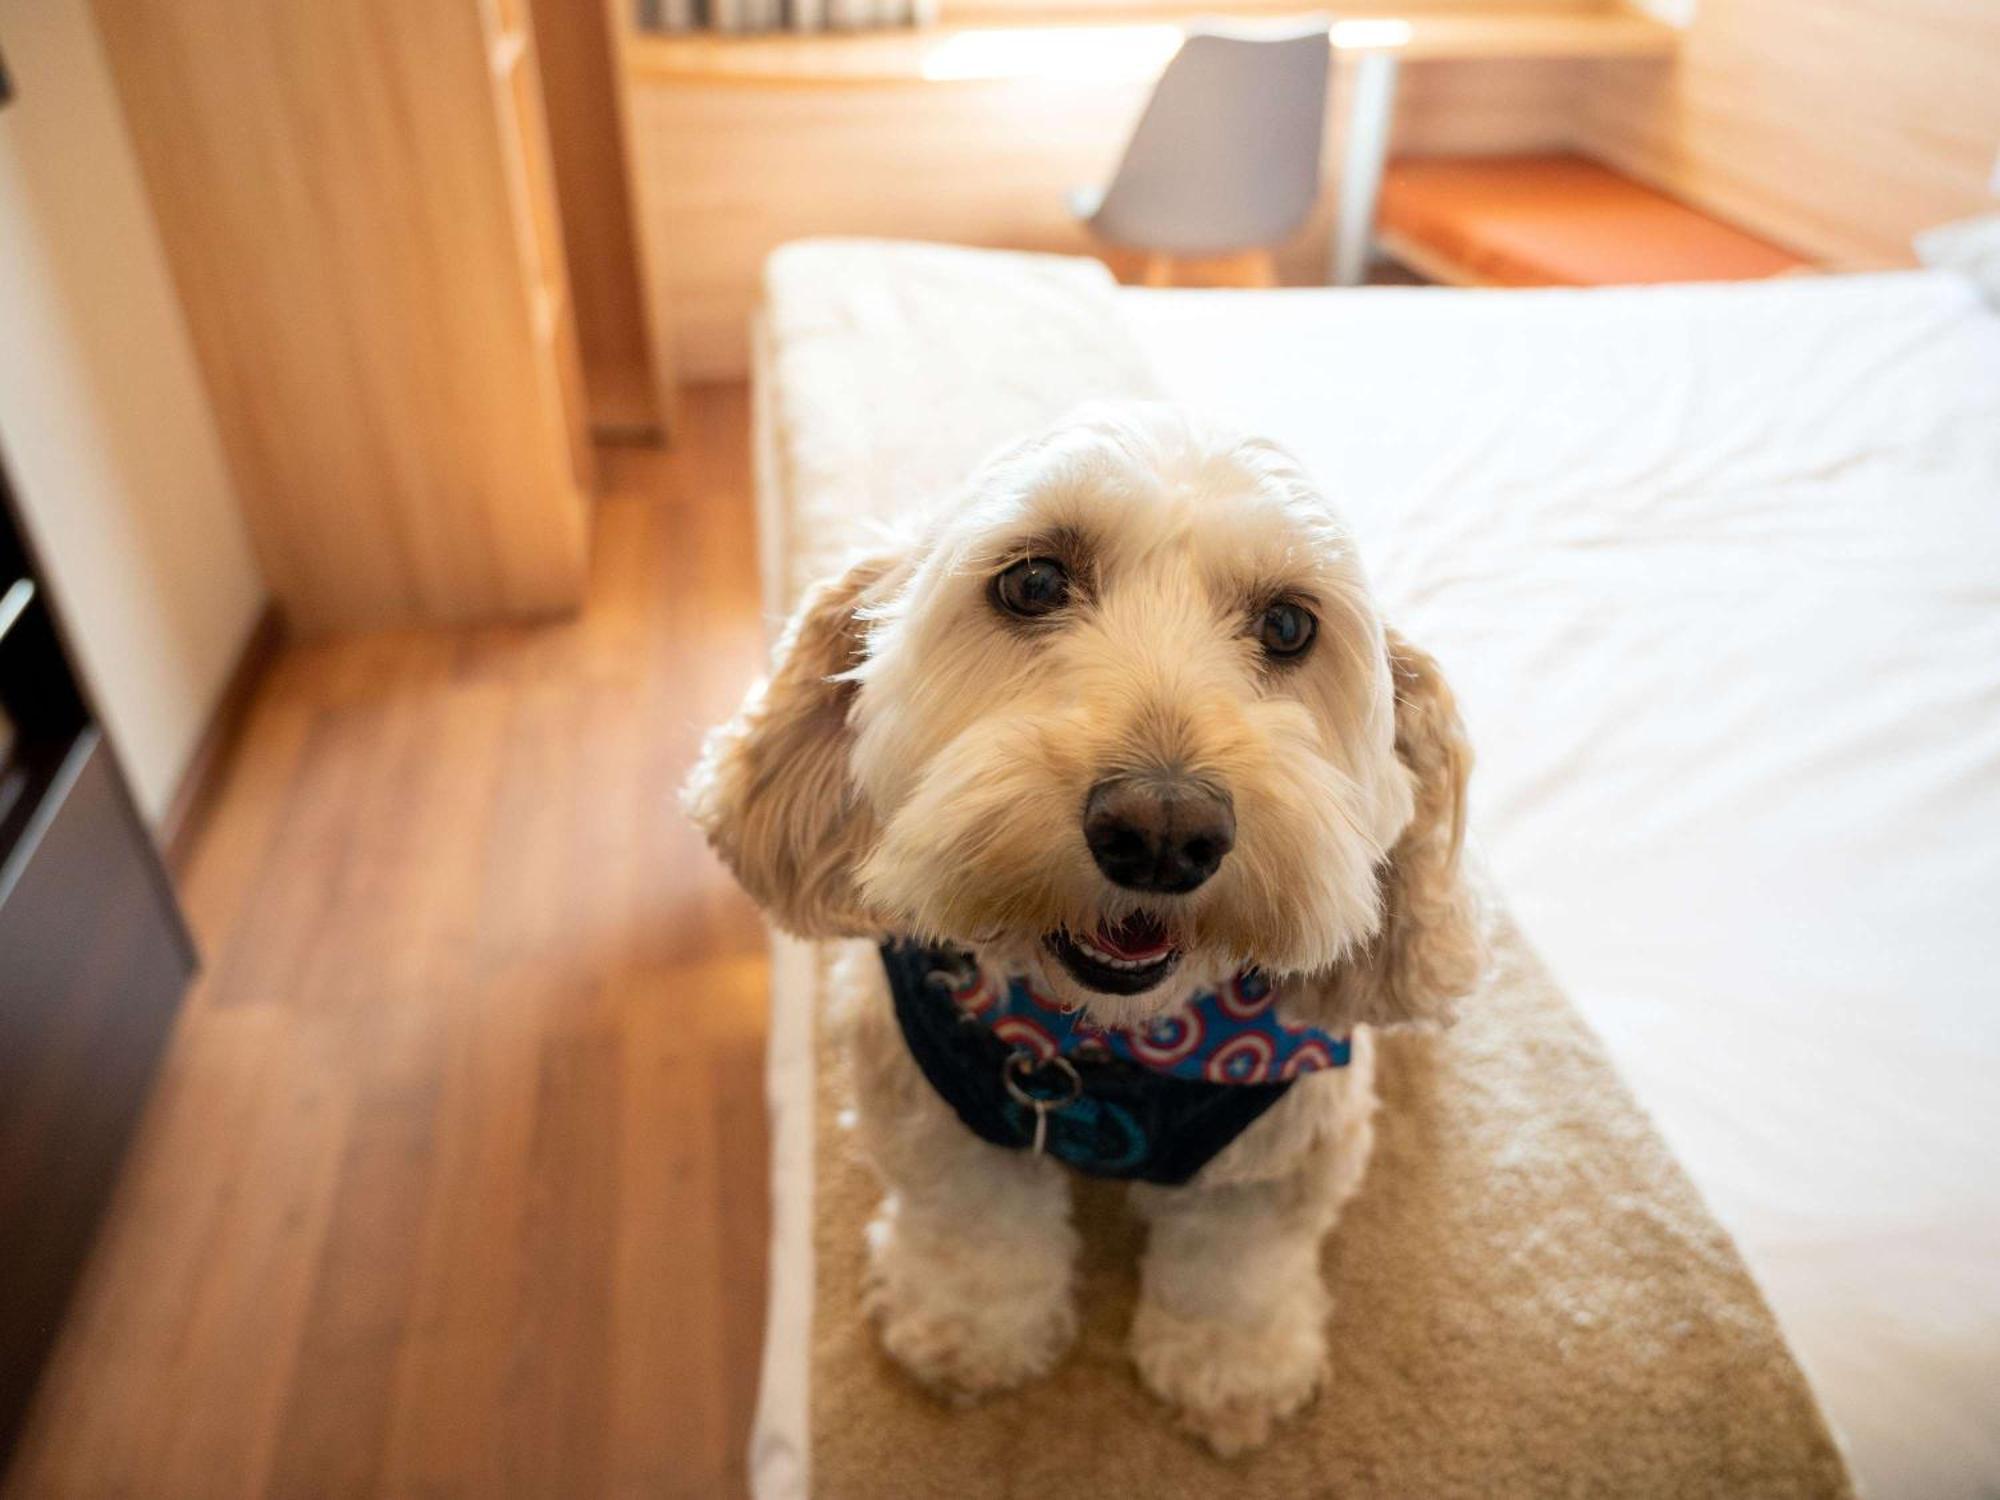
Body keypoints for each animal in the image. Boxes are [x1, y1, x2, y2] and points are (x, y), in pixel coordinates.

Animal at [688, 400, 1488, 1456]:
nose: (1163, 832)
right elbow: (972, 1226)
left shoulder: (1289, 1141)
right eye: (1032, 582)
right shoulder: (927, 1100)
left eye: (1288, 624)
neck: (1113, 1051)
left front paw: (1233, 1365)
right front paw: (969, 1327)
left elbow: (1239, 1263)